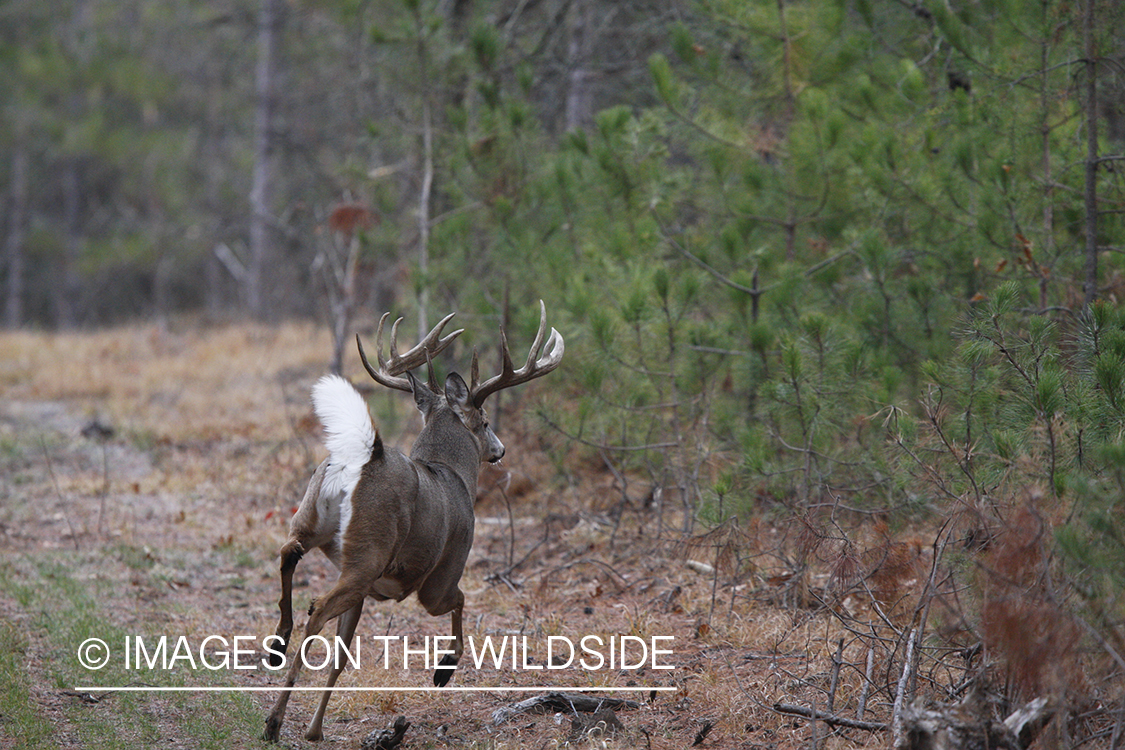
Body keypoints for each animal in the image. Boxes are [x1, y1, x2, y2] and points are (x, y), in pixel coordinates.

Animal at [261, 301, 562, 742]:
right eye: (485, 421)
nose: (500, 450)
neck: (453, 475)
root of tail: (365, 456)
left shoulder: (368, 589)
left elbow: (341, 658)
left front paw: (315, 730)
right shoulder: (441, 574)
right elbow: (460, 600)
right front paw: (444, 669)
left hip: (320, 525)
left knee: (289, 551)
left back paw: (277, 644)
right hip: (370, 550)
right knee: (316, 607)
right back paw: (273, 720)